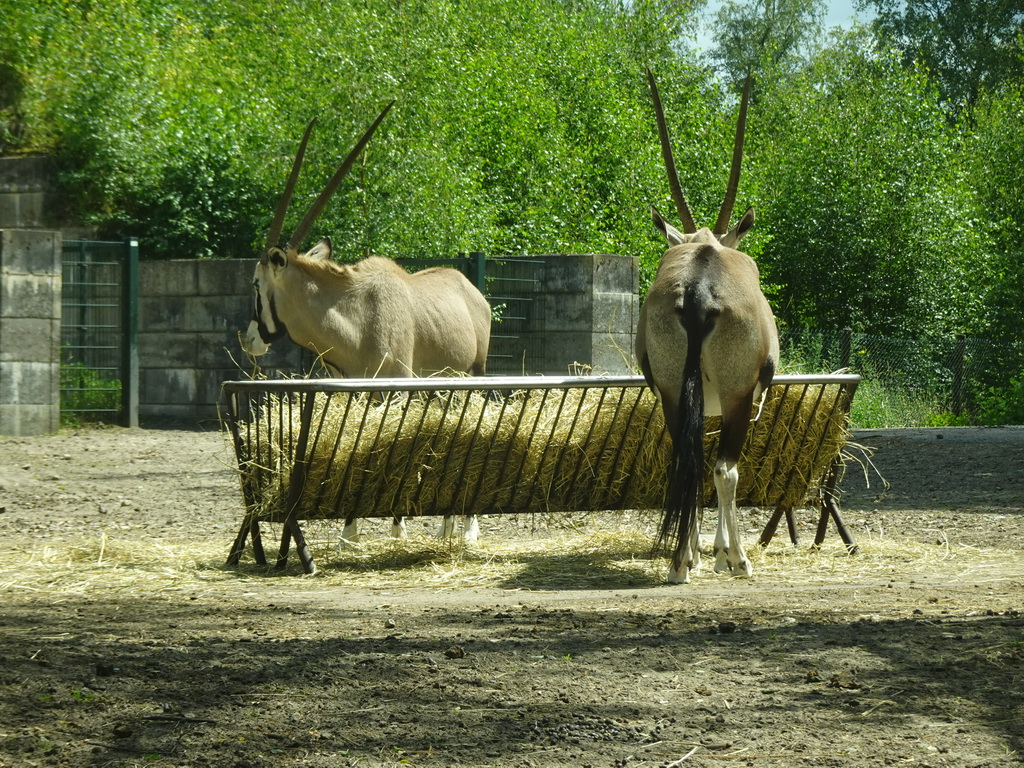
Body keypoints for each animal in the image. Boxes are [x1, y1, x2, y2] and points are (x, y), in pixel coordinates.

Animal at [243, 102, 491, 544]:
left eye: (256, 283)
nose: (250, 338)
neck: (353, 317)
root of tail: (470, 290)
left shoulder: (397, 389)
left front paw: (396, 528)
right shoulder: (356, 393)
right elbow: (358, 444)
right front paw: (349, 531)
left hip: (473, 377)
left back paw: (467, 528)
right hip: (442, 388)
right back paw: (445, 525)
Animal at [638, 72, 782, 585]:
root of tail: (699, 287)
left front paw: (704, 553)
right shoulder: (745, 398)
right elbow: (726, 471)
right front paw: (723, 555)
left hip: (672, 392)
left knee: (691, 463)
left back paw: (682, 560)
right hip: (739, 395)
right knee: (724, 470)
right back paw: (738, 560)